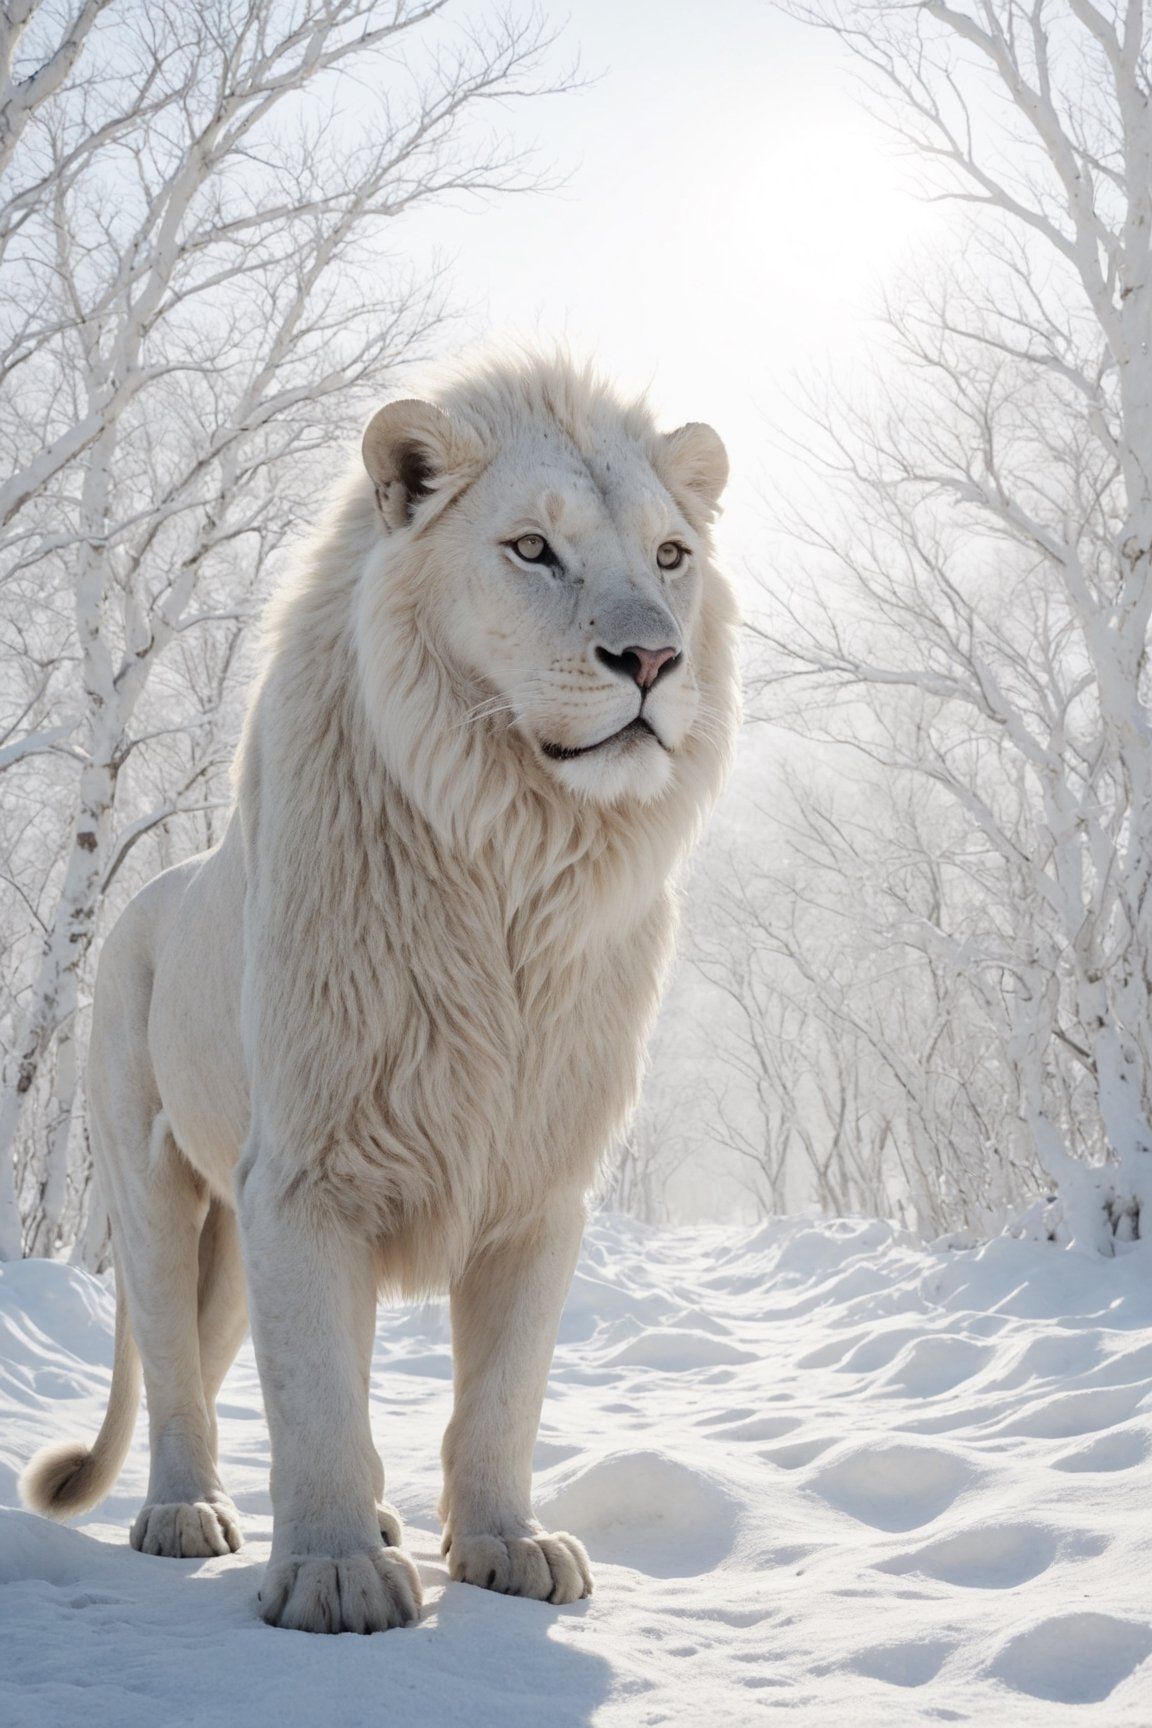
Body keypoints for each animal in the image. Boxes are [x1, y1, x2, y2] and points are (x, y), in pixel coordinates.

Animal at [20, 352, 740, 1633]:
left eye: (670, 556)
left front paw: (509, 1546)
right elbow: (315, 1395)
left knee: (214, 1344)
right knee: (174, 1366)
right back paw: (186, 1514)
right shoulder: (306, 1174)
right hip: (152, 1178)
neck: (517, 862)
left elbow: (502, 1393)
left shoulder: (539, 1185)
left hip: (235, 1223)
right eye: (533, 549)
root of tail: (146, 896)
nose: (655, 661)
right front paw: (336, 1575)